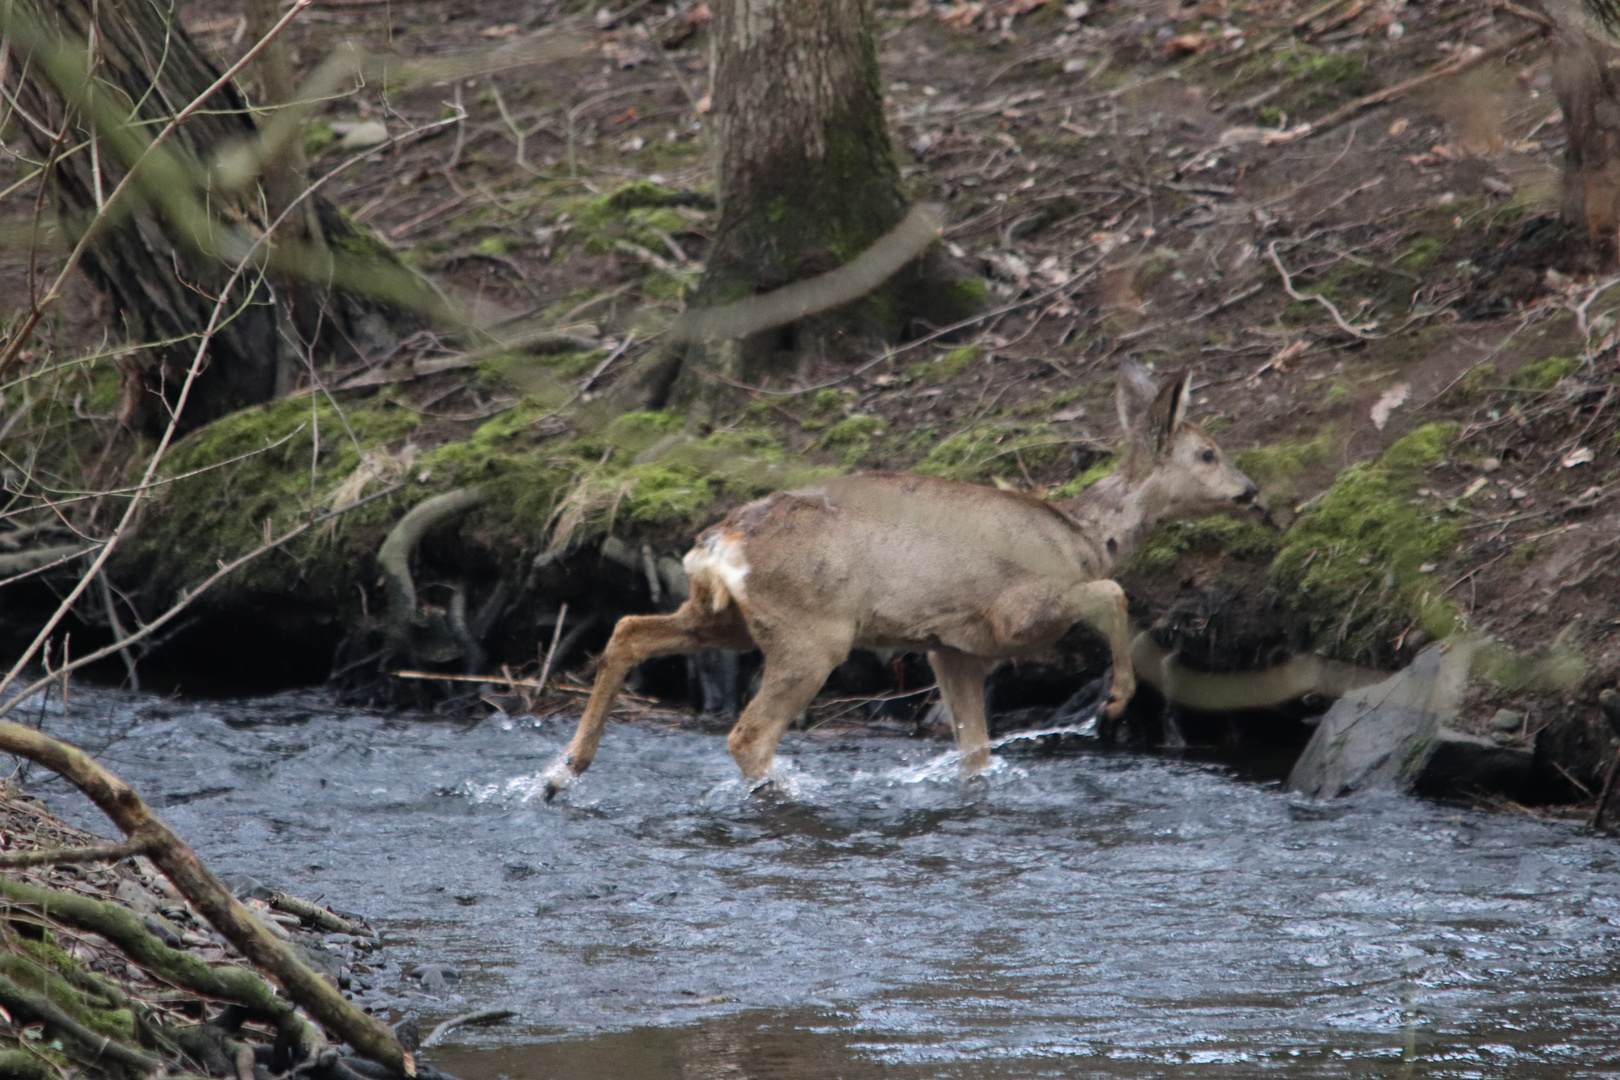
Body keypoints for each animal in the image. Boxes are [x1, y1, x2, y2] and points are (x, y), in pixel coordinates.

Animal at [547, 367, 1263, 799]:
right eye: (1208, 453)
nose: (1252, 492)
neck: (1086, 537)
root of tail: (723, 541)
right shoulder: (1015, 611)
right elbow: (1112, 595)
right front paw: (1116, 699)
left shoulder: (952, 645)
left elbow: (975, 749)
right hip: (812, 631)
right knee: (748, 731)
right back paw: (777, 791)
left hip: (722, 615)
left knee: (629, 628)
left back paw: (565, 772)